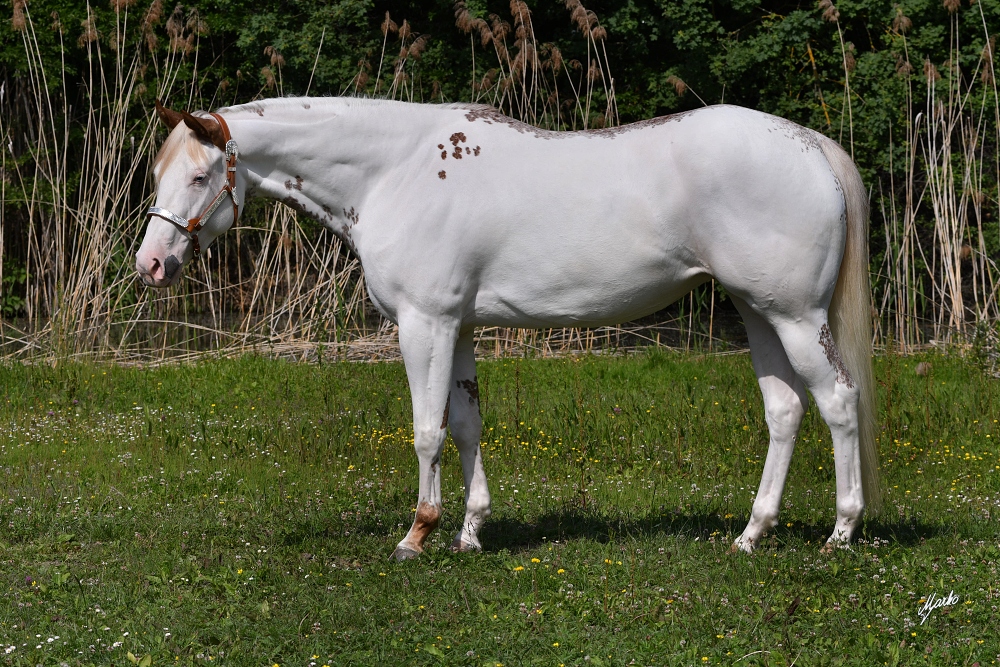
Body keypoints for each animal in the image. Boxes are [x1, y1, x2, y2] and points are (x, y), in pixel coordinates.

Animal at [137, 96, 880, 560]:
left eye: (200, 176)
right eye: (159, 173)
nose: (151, 264)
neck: (394, 172)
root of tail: (810, 145)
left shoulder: (424, 323)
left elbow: (427, 429)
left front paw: (418, 534)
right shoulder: (459, 325)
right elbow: (467, 424)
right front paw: (471, 531)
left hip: (795, 316)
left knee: (838, 402)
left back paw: (841, 531)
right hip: (757, 312)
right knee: (784, 410)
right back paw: (752, 534)